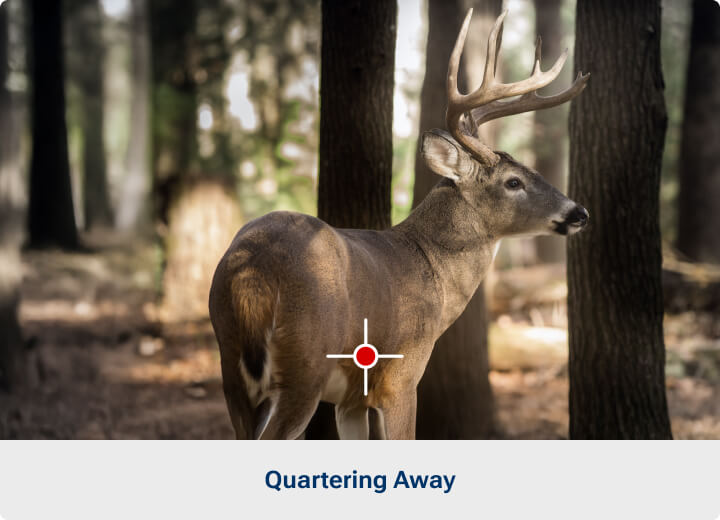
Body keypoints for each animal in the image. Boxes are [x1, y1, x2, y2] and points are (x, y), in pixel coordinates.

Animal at [209, 9, 590, 440]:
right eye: (513, 182)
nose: (579, 212)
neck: (431, 269)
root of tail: (252, 269)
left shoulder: (352, 399)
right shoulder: (400, 377)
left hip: (231, 368)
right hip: (304, 365)